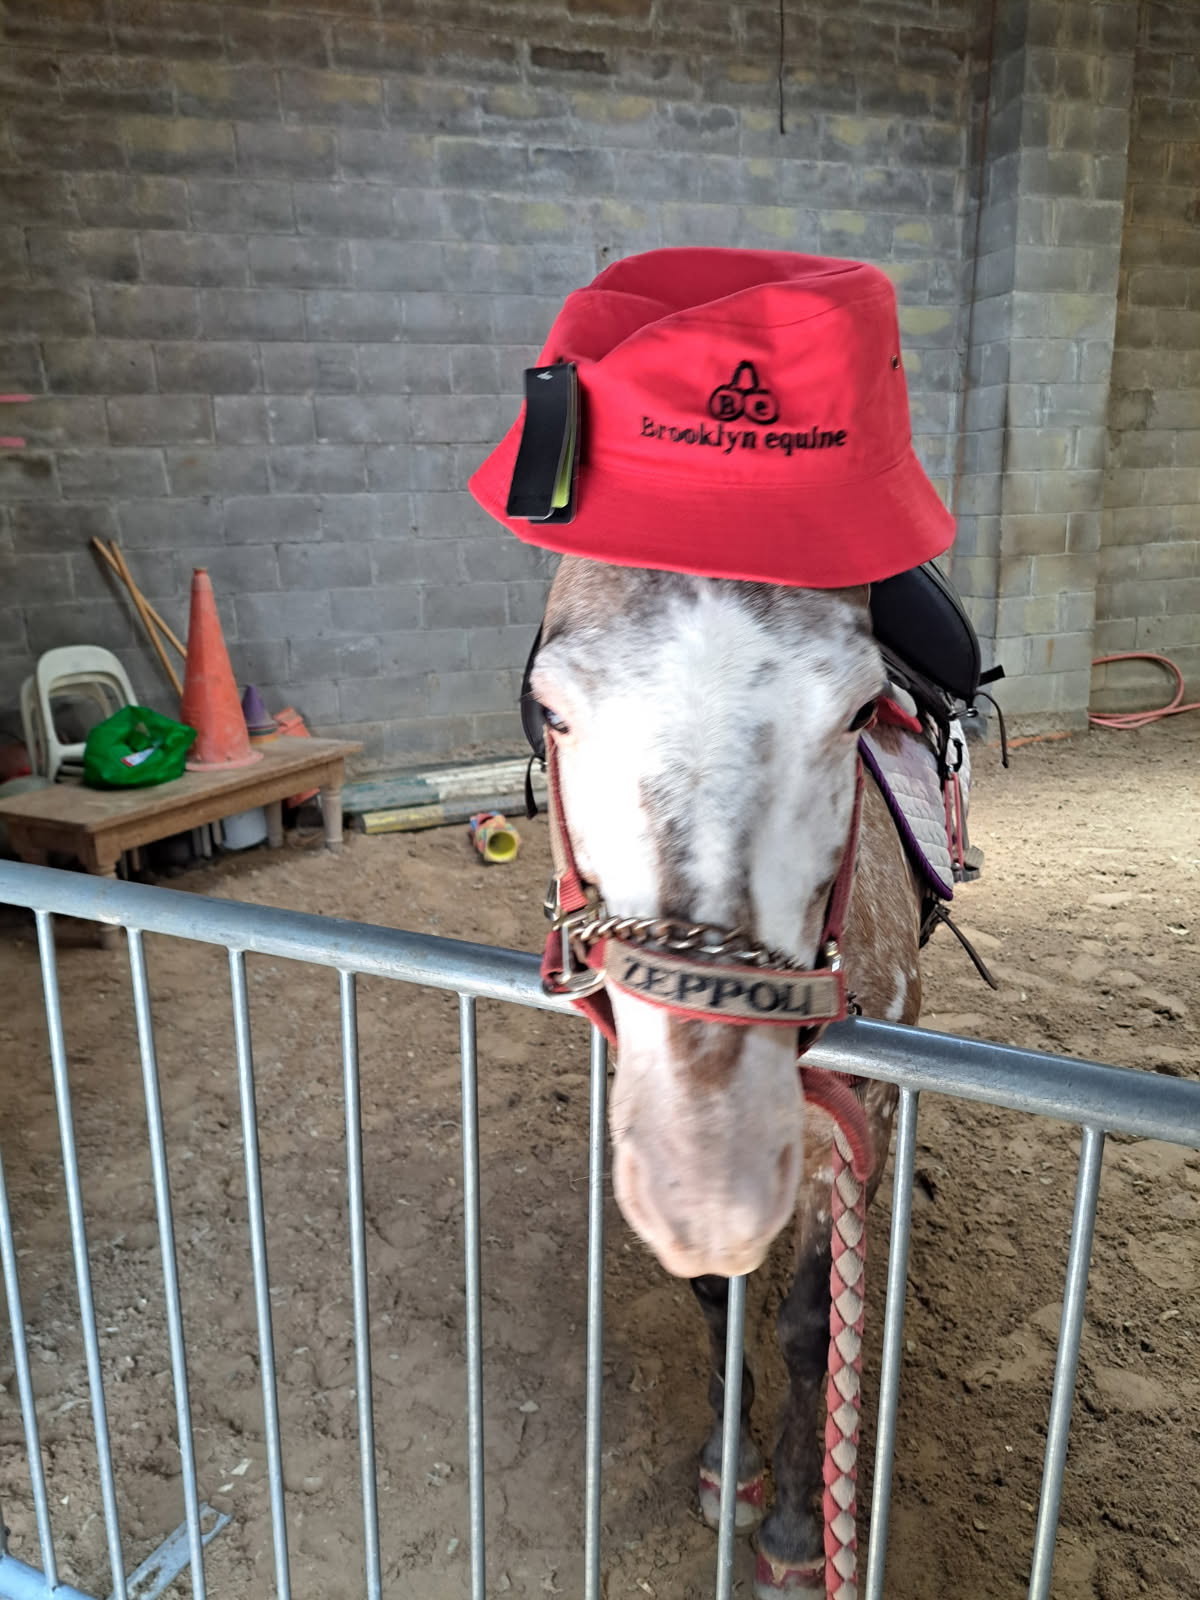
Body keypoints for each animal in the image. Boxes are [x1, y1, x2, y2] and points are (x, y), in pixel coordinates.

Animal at [527, 556, 930, 1596]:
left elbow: (812, 1326)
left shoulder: (856, 1120)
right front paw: (730, 1466)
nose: (714, 1185)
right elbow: (716, 1294)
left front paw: (793, 1533)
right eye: (552, 712)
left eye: (861, 709)